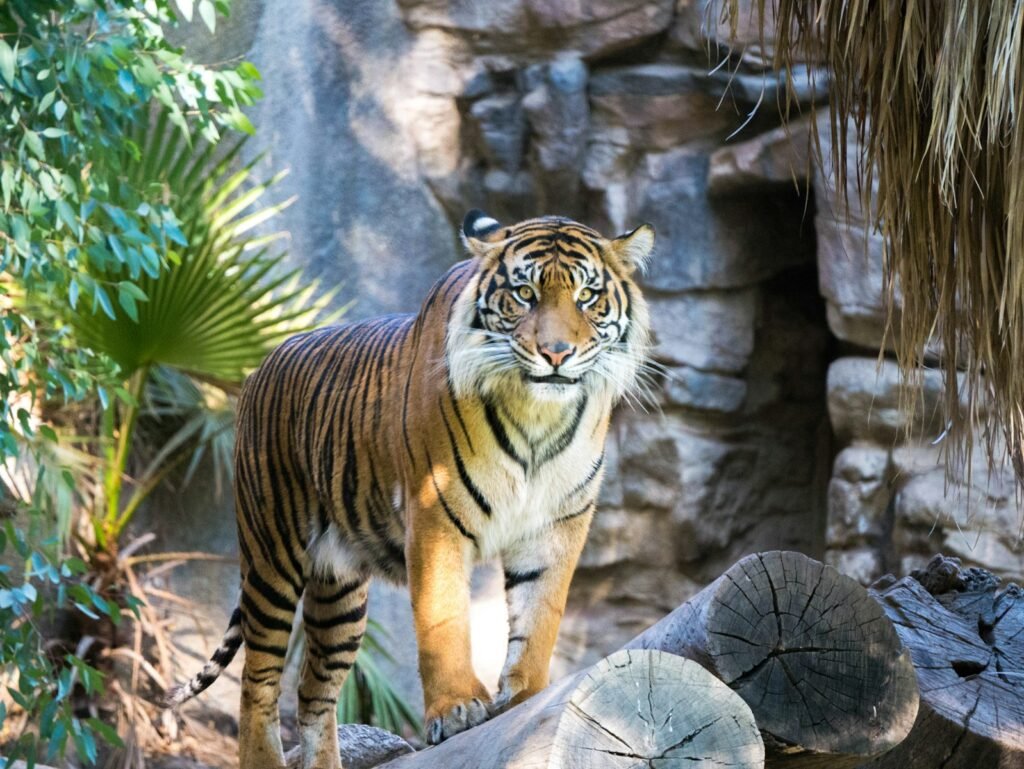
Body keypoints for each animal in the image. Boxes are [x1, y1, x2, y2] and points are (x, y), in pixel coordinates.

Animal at [167, 210, 654, 769]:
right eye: (525, 293)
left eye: (587, 296)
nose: (556, 353)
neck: (538, 414)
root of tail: (256, 370)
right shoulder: (435, 512)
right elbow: (444, 619)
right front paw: (458, 708)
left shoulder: (557, 523)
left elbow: (540, 616)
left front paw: (527, 699)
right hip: (272, 556)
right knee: (258, 680)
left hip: (339, 594)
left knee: (313, 694)